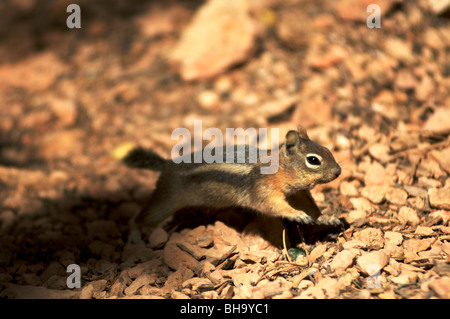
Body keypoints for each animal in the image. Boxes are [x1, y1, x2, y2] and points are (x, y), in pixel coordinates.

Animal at [123, 126, 342, 239]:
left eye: (327, 150)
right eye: (313, 160)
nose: (338, 171)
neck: (279, 170)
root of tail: (167, 164)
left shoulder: (299, 193)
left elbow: (311, 207)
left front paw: (326, 218)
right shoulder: (265, 191)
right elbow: (273, 206)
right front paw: (297, 215)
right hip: (166, 199)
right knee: (141, 218)